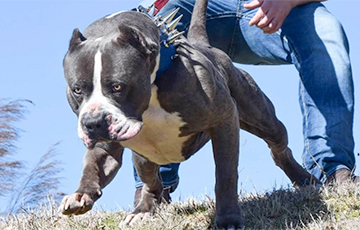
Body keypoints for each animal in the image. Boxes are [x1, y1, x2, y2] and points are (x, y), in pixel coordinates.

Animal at [59, 0, 318, 227]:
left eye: (117, 86)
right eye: (77, 89)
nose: (93, 122)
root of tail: (203, 44)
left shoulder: (224, 119)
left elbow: (225, 175)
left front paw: (228, 219)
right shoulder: (106, 146)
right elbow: (93, 166)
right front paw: (81, 195)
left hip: (262, 116)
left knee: (278, 147)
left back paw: (304, 178)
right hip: (142, 157)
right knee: (151, 182)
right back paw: (143, 210)